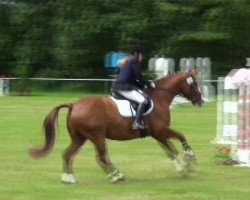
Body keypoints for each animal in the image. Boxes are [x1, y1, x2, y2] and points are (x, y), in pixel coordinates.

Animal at [29, 69, 203, 183]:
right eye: (194, 83)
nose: (200, 101)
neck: (159, 97)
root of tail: (74, 105)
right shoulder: (161, 130)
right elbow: (180, 137)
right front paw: (190, 157)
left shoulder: (157, 134)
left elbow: (170, 150)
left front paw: (182, 168)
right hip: (97, 136)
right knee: (101, 157)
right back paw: (117, 175)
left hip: (80, 138)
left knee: (67, 154)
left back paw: (68, 177)